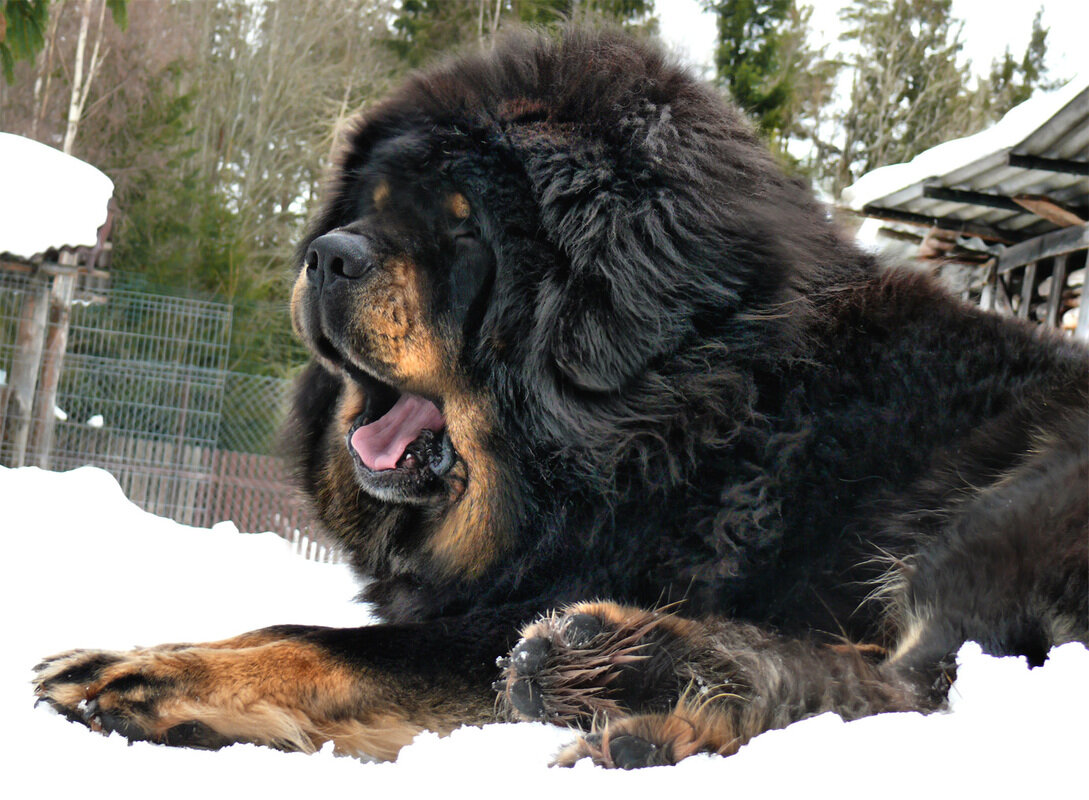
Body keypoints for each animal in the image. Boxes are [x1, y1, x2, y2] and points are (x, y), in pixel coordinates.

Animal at [34, 26, 1089, 770]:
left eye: (465, 230)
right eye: (369, 208)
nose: (326, 257)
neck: (675, 416)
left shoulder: (499, 621)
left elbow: (318, 641)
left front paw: (139, 667)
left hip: (1002, 511)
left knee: (921, 687)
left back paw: (636, 688)